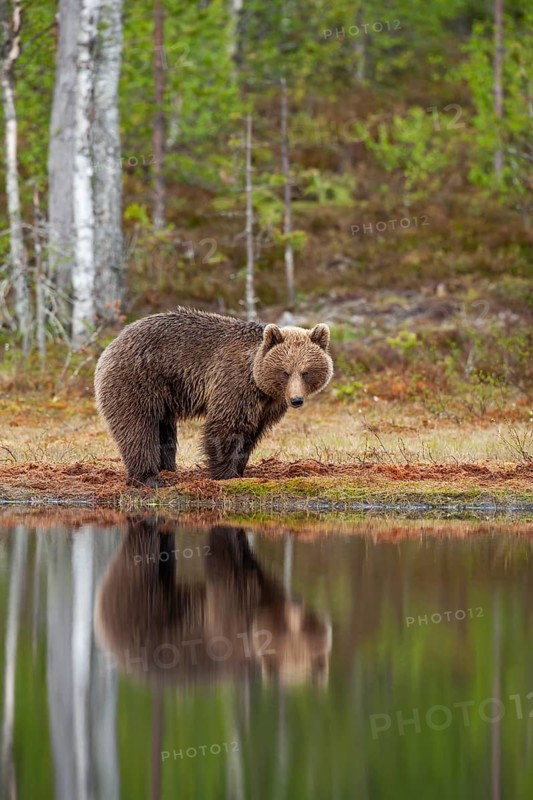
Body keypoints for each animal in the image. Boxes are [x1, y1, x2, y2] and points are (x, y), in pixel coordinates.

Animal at [94, 307, 333, 486]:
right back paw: (148, 477)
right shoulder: (234, 383)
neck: (258, 382)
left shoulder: (267, 404)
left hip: (162, 394)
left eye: (306, 372)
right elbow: (227, 427)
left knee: (164, 429)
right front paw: (226, 473)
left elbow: (252, 432)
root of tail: (113, 344)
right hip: (138, 380)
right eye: (285, 372)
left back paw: (167, 469)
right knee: (138, 426)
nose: (296, 400)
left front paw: (240, 468)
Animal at [94, 516, 331, 687]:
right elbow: (227, 568)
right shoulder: (230, 612)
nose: (298, 604)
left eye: (307, 628)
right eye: (282, 627)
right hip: (139, 606)